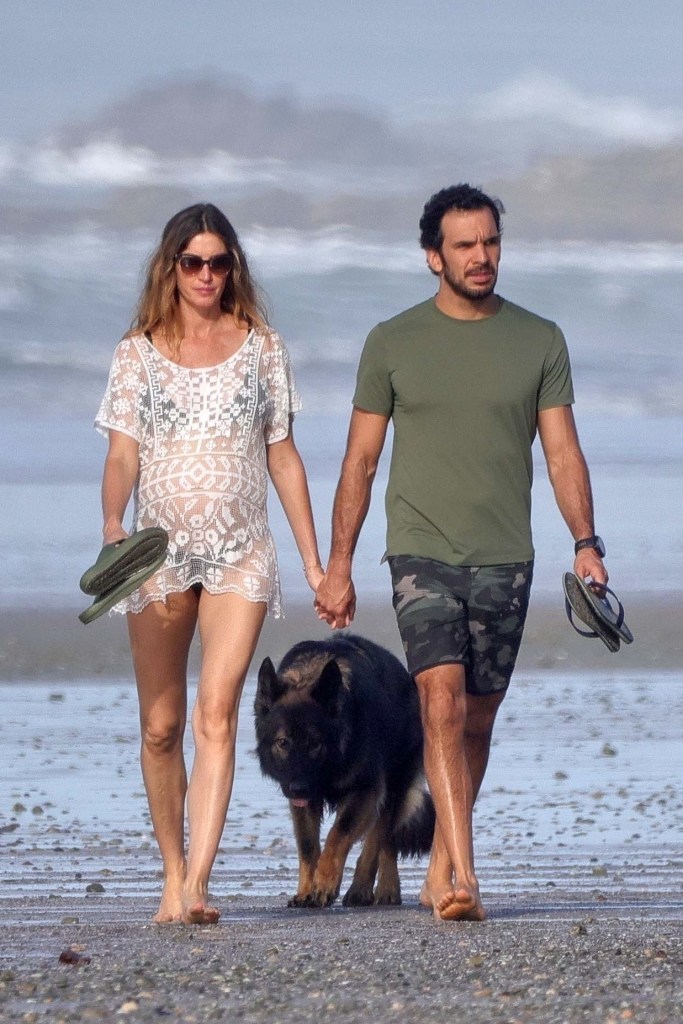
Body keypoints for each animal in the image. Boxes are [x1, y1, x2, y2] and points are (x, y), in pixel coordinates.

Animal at [253, 634, 436, 909]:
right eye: (283, 743)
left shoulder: (364, 790)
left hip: (393, 787)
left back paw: (371, 889)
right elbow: (308, 846)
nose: (298, 788)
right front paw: (306, 890)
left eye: (315, 743)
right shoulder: (303, 802)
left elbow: (338, 835)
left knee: (382, 839)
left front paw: (325, 884)